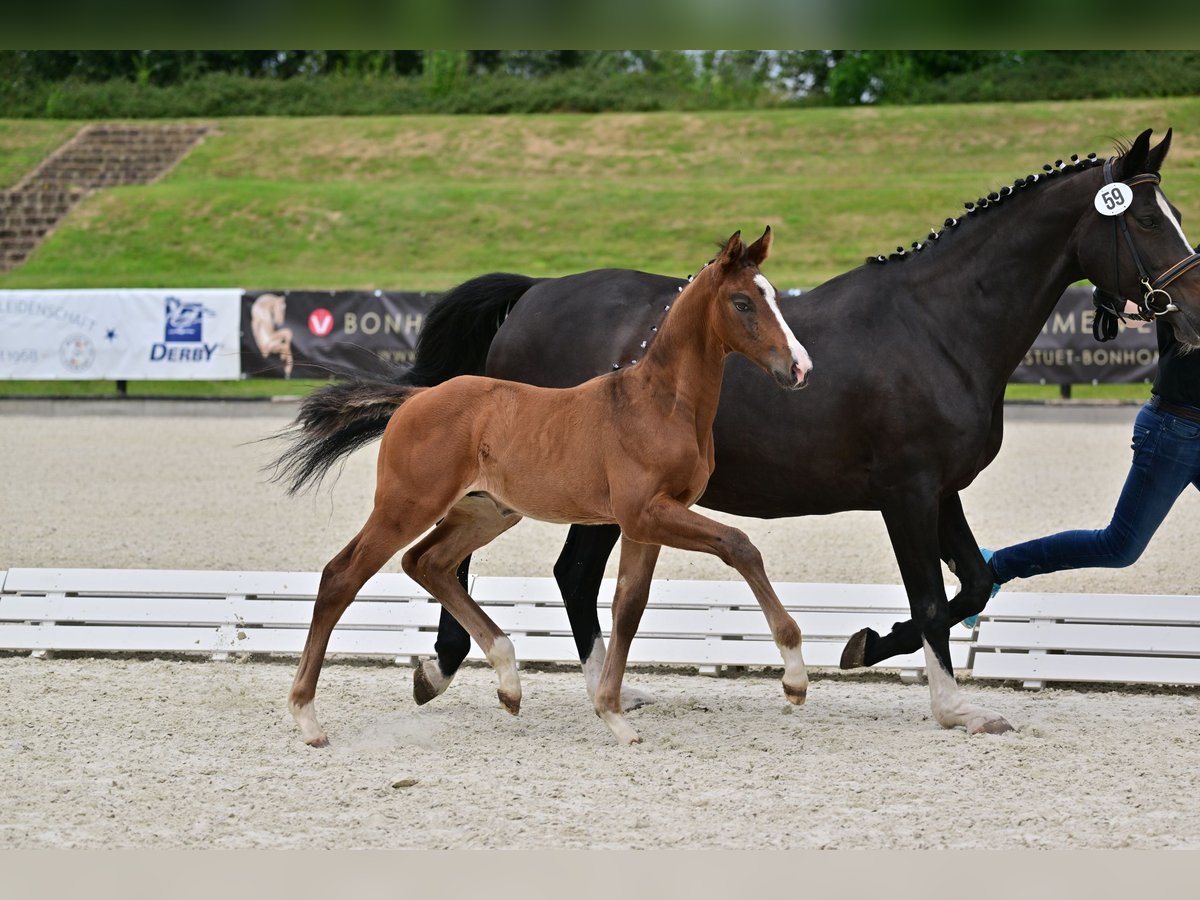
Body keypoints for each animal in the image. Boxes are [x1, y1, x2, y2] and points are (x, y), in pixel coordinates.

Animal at [278, 230, 816, 748]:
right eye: (742, 302)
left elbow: (628, 606)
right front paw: (794, 678)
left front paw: (613, 715)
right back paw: (307, 719)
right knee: (342, 576)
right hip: (406, 505)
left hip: (487, 512)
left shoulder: (646, 522)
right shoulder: (646, 513)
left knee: (426, 562)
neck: (660, 404)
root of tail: (417, 397)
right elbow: (739, 546)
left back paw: (507, 681)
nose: (799, 368)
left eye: (774, 296)